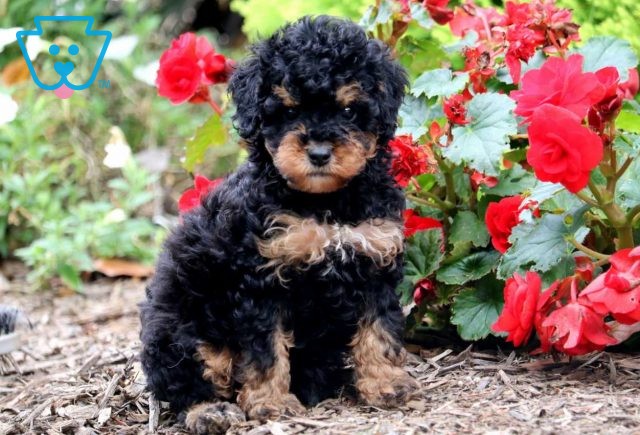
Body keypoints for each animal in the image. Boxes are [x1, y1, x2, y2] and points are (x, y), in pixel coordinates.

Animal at [141, 15, 418, 434]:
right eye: (287, 112)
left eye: (349, 111)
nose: (318, 153)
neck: (325, 203)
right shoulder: (261, 280)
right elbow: (265, 350)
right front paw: (271, 404)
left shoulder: (374, 259)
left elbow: (379, 330)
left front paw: (385, 384)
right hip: (177, 328)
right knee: (185, 377)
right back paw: (209, 411)